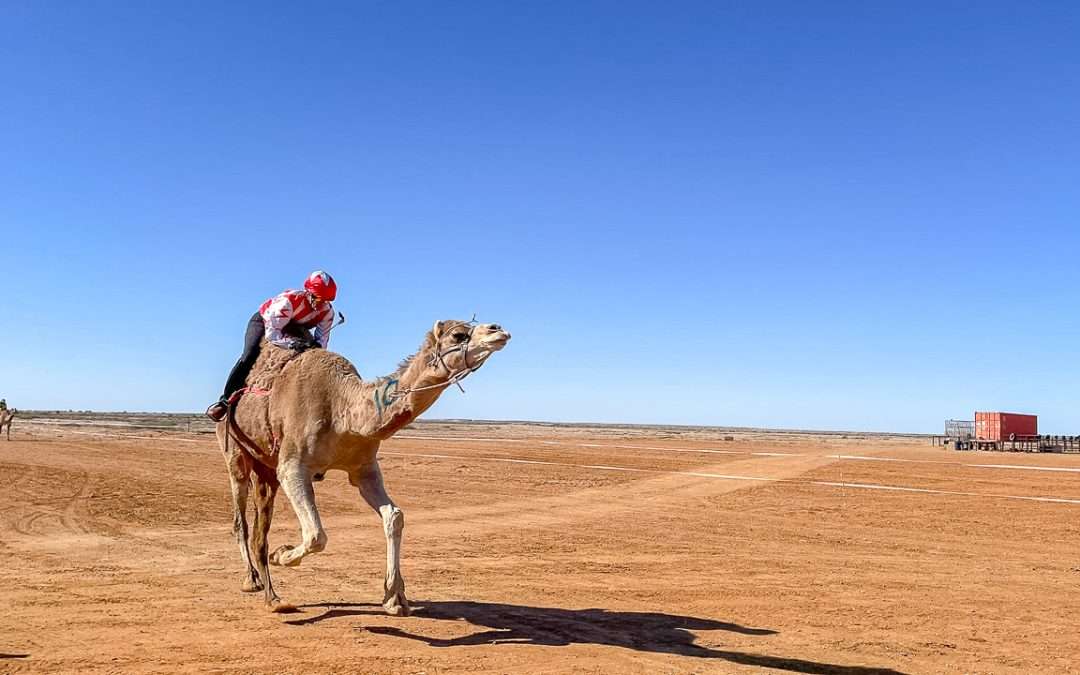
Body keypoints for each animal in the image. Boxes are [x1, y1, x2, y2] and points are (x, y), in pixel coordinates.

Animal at [216, 319, 511, 613]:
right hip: (235, 455)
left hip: (265, 468)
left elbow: (394, 516)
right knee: (241, 519)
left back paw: (271, 594)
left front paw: (395, 598)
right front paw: (282, 554)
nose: (498, 330)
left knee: (260, 525)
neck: (343, 410)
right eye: (458, 335)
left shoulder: (364, 469)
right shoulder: (292, 466)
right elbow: (316, 535)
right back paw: (256, 583)